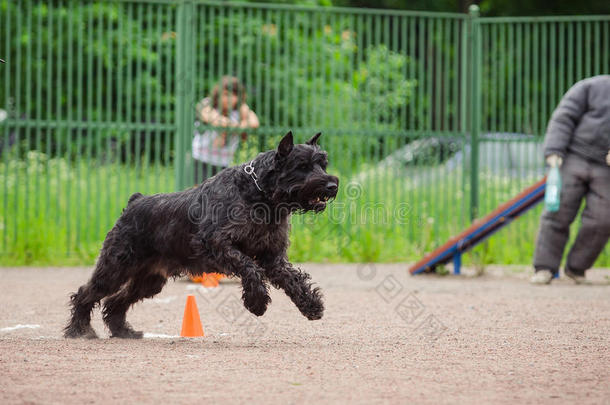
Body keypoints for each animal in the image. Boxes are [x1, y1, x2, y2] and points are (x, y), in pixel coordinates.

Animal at [64, 132, 340, 338]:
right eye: (302, 166)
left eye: (322, 163)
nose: (331, 185)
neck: (260, 195)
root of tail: (134, 202)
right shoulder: (217, 243)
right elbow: (249, 268)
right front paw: (257, 302)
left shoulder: (273, 258)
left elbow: (294, 279)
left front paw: (311, 305)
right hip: (115, 268)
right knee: (85, 293)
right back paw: (80, 330)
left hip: (149, 280)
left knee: (115, 302)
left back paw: (123, 331)